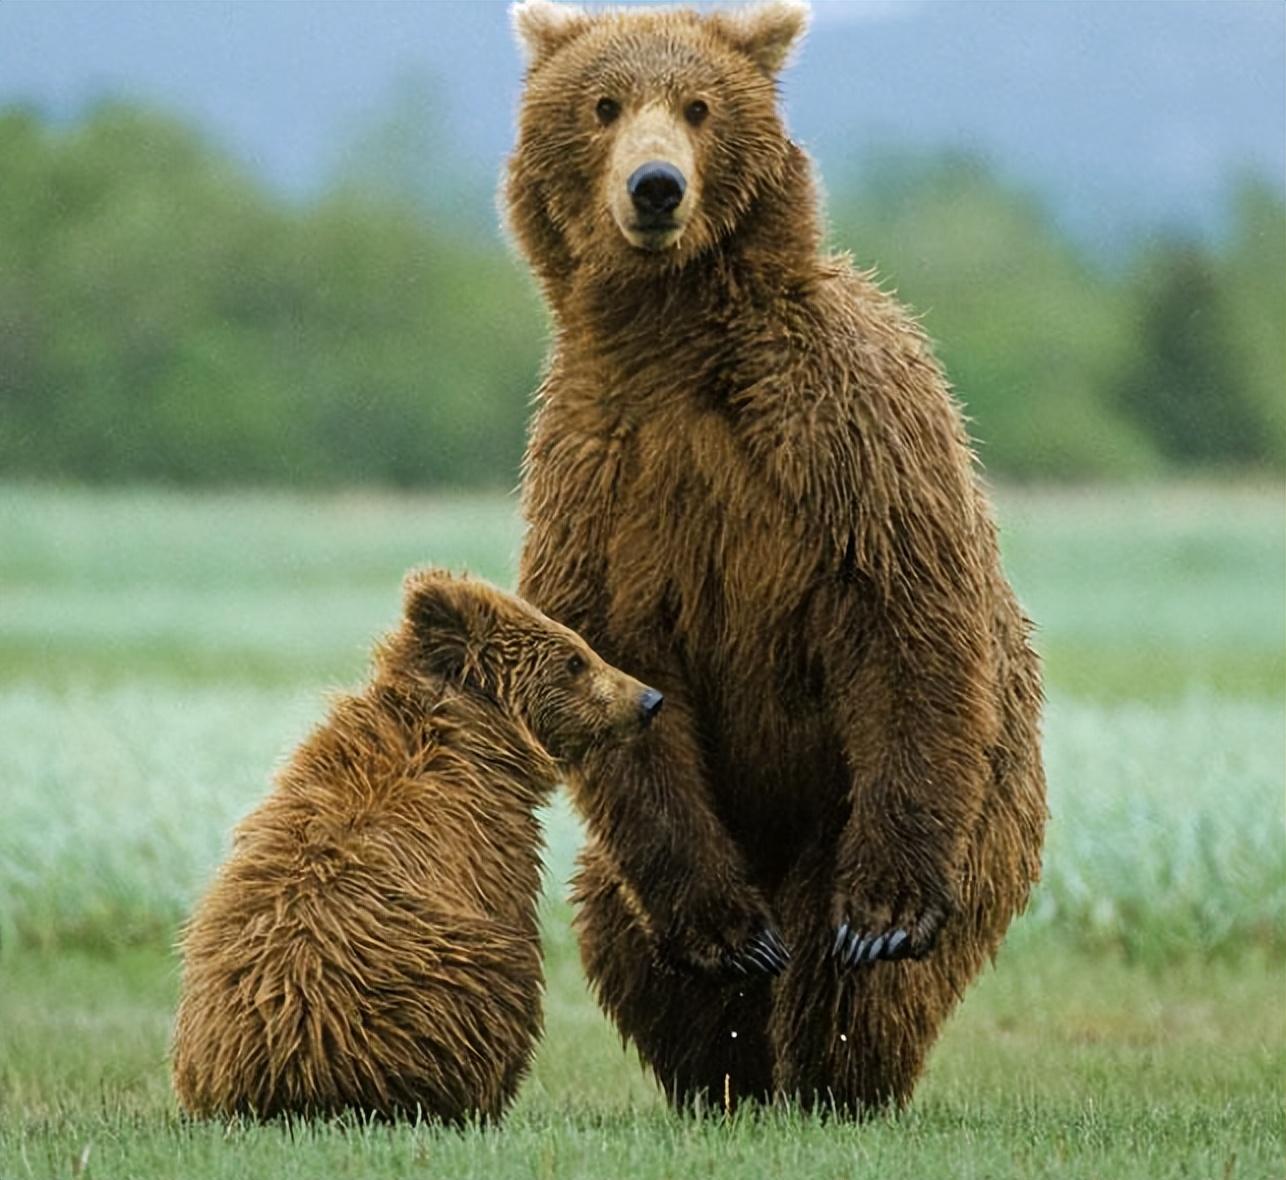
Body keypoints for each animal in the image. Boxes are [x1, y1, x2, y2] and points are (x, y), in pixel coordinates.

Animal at [172, 573, 663, 1126]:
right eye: (575, 659)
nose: (649, 699)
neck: (478, 738)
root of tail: (289, 1071)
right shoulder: (486, 847)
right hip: (419, 991)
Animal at [501, 0, 1044, 1115]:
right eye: (604, 104)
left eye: (699, 106)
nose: (654, 186)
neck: (672, 338)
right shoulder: (596, 468)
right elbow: (610, 658)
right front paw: (727, 941)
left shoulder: (842, 426)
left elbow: (902, 614)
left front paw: (883, 914)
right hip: (682, 843)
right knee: (621, 936)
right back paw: (725, 1067)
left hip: (956, 806)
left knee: (855, 972)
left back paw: (835, 1071)